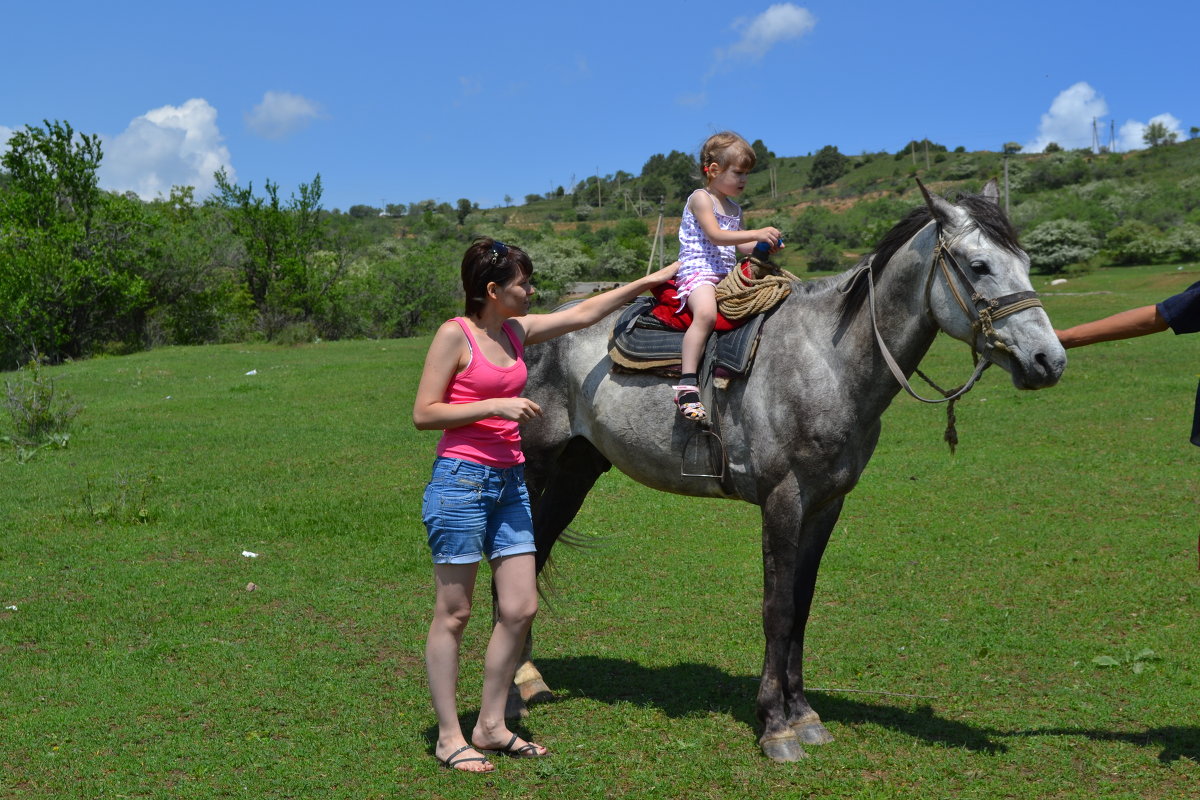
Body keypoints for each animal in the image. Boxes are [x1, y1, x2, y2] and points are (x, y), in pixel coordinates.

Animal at [511, 181, 1065, 762]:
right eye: (979, 265)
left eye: (1026, 262)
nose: (1049, 360)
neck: (828, 360)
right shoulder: (782, 499)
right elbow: (776, 609)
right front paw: (775, 726)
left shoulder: (826, 504)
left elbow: (801, 606)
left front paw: (803, 715)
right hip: (535, 467)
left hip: (577, 470)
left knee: (539, 550)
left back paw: (530, 677)